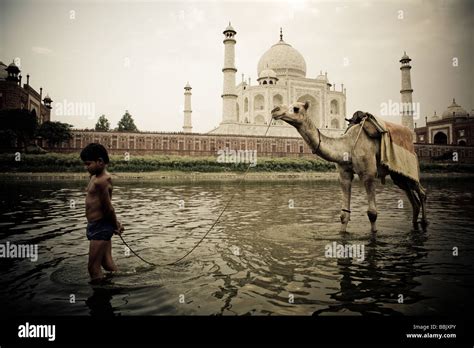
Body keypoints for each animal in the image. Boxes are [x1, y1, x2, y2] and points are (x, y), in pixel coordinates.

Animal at [272, 100, 428, 232]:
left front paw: (374, 232)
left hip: (410, 167)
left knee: (422, 192)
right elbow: (343, 215)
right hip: (399, 175)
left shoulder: (369, 174)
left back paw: (425, 222)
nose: (275, 109)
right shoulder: (344, 174)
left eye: (296, 108)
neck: (346, 145)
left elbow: (372, 213)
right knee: (413, 200)